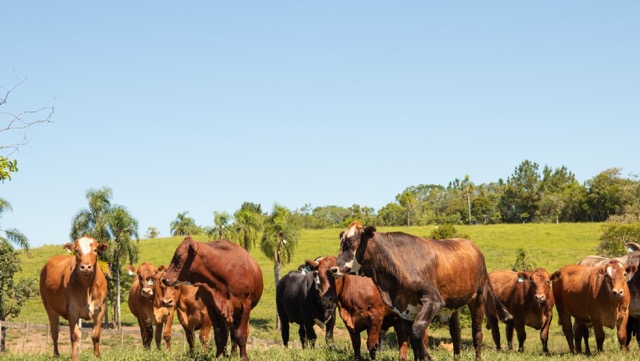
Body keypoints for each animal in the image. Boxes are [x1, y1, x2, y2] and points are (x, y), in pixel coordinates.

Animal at [330, 222, 510, 360]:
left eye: (351, 242)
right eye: (341, 244)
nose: (333, 269)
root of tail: (473, 246)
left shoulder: (433, 301)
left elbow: (417, 333)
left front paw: (429, 357)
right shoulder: (406, 309)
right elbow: (414, 342)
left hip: (479, 297)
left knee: (477, 333)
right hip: (453, 305)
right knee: (456, 334)